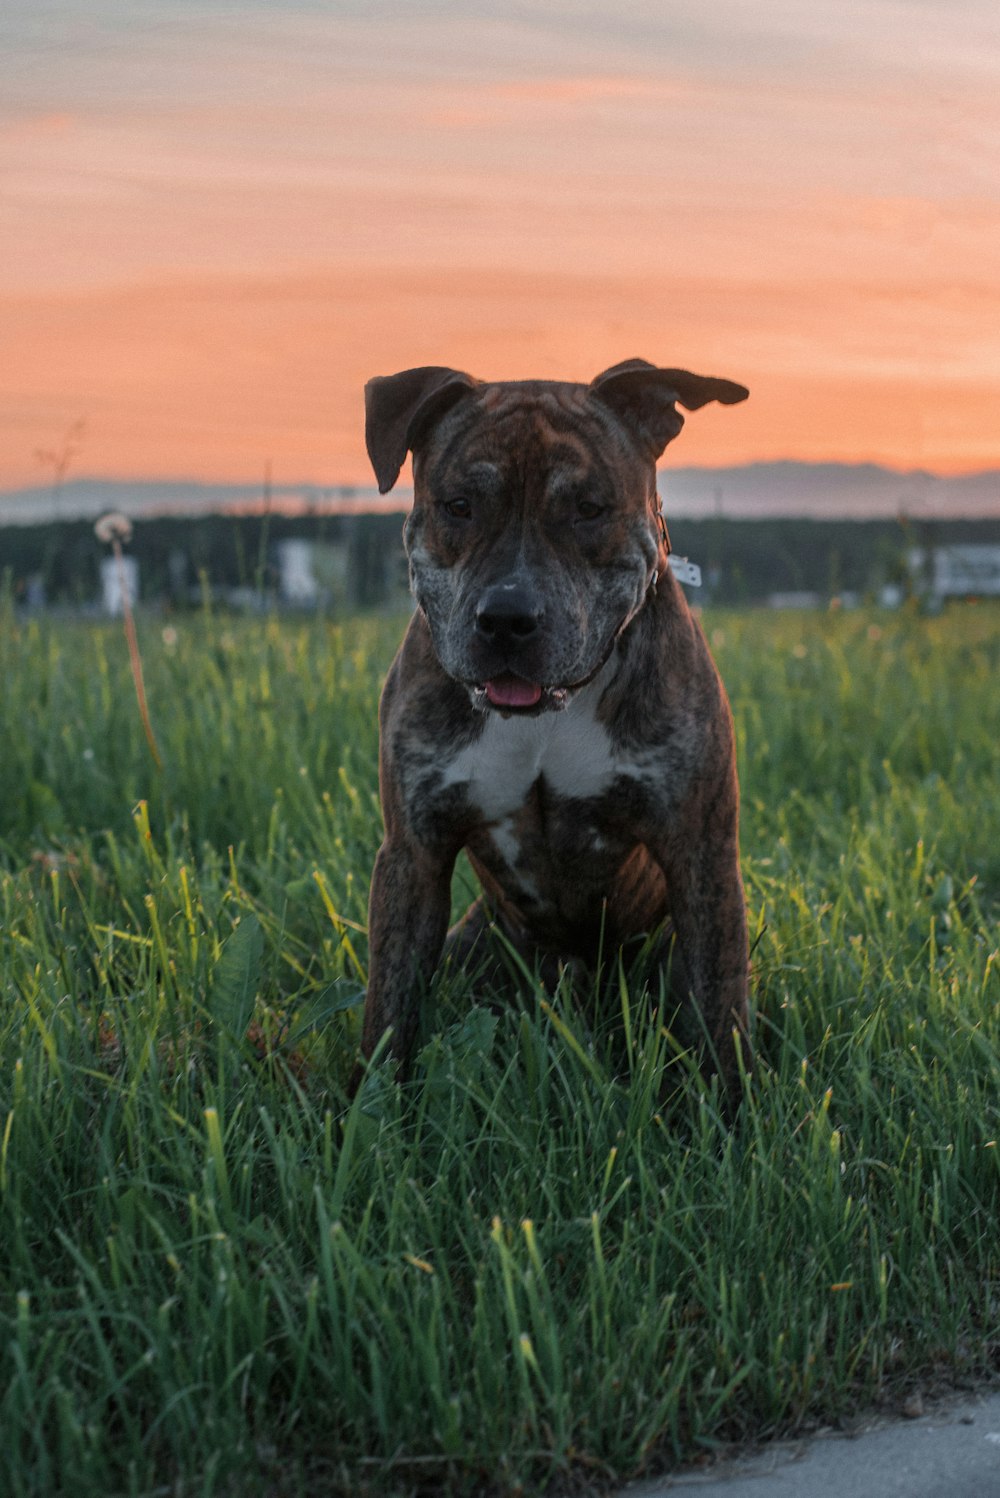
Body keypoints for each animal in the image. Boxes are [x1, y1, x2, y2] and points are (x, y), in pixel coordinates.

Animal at [357, 356, 748, 1096]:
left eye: (588, 509)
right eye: (459, 505)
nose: (508, 618)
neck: (546, 717)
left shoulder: (699, 850)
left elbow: (719, 1010)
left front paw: (726, 1111)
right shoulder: (413, 852)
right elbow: (390, 1007)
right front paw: (373, 1108)